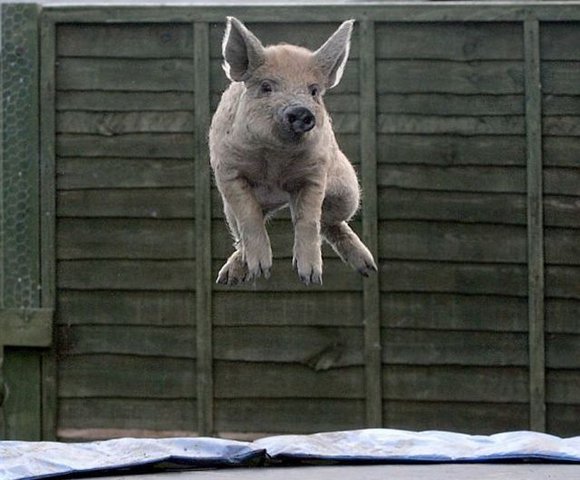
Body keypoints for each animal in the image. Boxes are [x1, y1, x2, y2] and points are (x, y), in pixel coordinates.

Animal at [211, 17, 378, 284]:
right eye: (266, 87)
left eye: (314, 91)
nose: (301, 111)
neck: (275, 161)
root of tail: (280, 200)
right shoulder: (228, 170)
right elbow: (249, 216)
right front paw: (262, 271)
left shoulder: (315, 173)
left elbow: (307, 220)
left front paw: (310, 278)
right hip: (228, 211)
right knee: (243, 231)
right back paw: (229, 277)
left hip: (349, 194)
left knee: (328, 221)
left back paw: (369, 268)